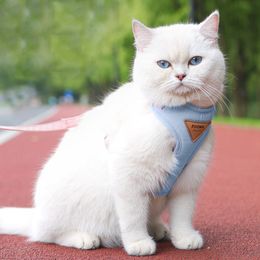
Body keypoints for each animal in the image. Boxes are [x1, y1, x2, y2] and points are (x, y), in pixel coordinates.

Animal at [0, 10, 225, 256]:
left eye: (195, 61)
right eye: (163, 64)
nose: (181, 76)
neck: (181, 116)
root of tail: (36, 217)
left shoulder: (188, 180)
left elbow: (183, 216)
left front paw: (184, 238)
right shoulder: (129, 177)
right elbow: (133, 217)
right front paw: (138, 244)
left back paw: (158, 229)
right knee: (49, 236)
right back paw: (85, 237)